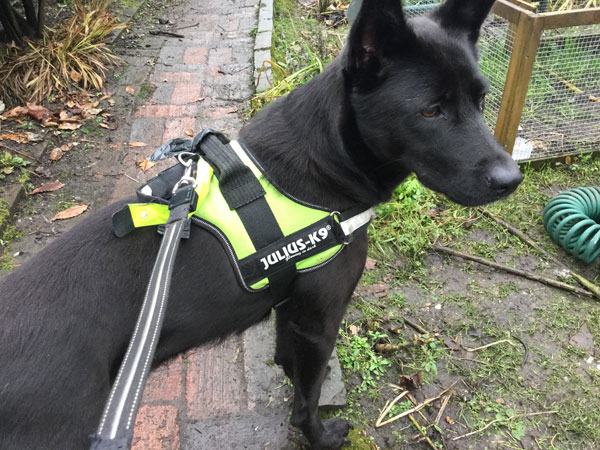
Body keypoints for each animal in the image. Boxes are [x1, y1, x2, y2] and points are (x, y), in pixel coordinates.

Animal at [0, 1, 520, 448]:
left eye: (482, 100)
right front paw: (321, 437)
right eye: (431, 110)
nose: (511, 179)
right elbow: (307, 401)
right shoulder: (319, 324)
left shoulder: (292, 313)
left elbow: (291, 369)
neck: (328, 161)